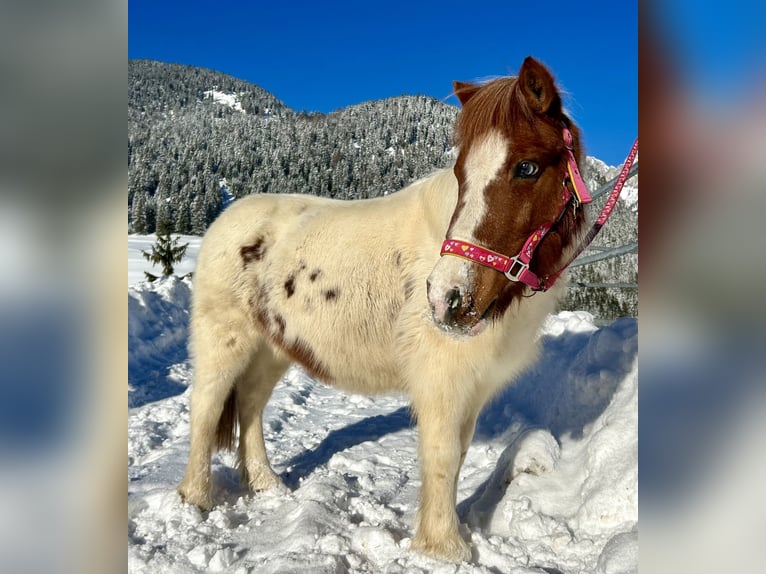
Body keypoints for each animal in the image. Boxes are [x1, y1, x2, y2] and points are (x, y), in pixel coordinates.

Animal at [178, 57, 588, 564]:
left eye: (527, 167)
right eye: (461, 172)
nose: (448, 298)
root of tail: (226, 220)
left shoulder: (471, 384)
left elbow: (457, 456)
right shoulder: (442, 378)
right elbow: (442, 455)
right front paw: (445, 549)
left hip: (272, 347)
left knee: (251, 405)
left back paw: (266, 485)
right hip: (224, 339)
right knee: (206, 406)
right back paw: (196, 499)